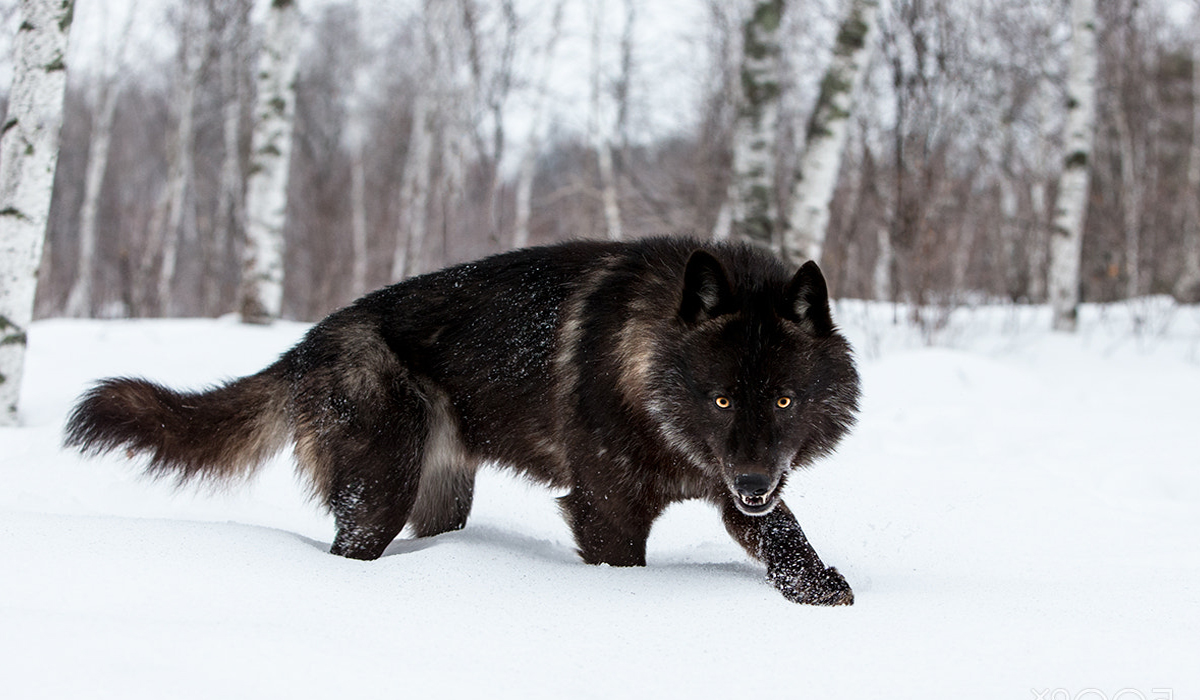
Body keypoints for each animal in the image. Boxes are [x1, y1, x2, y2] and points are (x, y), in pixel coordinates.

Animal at [65, 237, 864, 605]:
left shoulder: (735, 487)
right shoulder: (606, 509)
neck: (645, 364)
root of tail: (308, 343)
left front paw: (822, 591)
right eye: (721, 400)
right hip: (379, 496)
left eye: (784, 401)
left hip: (442, 499)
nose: (754, 480)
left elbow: (785, 535)